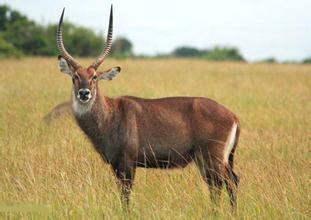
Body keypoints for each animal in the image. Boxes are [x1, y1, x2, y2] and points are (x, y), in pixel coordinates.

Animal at [55, 5, 241, 211]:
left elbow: (126, 195)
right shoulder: (115, 164)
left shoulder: (127, 162)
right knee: (224, 183)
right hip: (208, 159)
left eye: (94, 76)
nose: (84, 93)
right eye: (75, 77)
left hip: (213, 157)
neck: (110, 115)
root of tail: (233, 116)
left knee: (226, 183)